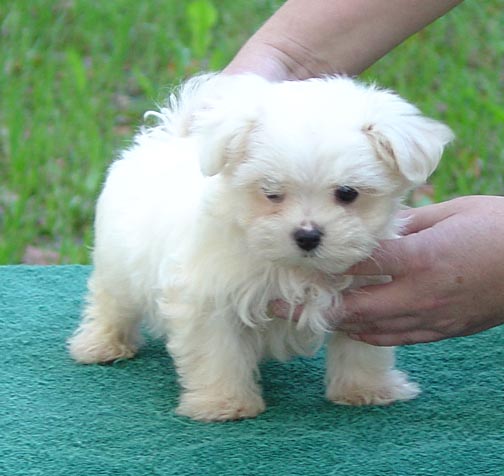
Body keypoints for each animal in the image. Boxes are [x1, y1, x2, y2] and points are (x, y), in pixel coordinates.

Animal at [70, 73, 452, 420]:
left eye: (347, 193)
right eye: (271, 192)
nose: (307, 235)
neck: (297, 269)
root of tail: (165, 137)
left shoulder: (364, 295)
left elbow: (362, 350)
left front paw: (366, 390)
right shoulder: (209, 299)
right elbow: (217, 352)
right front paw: (224, 403)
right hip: (116, 263)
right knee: (110, 301)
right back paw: (101, 343)